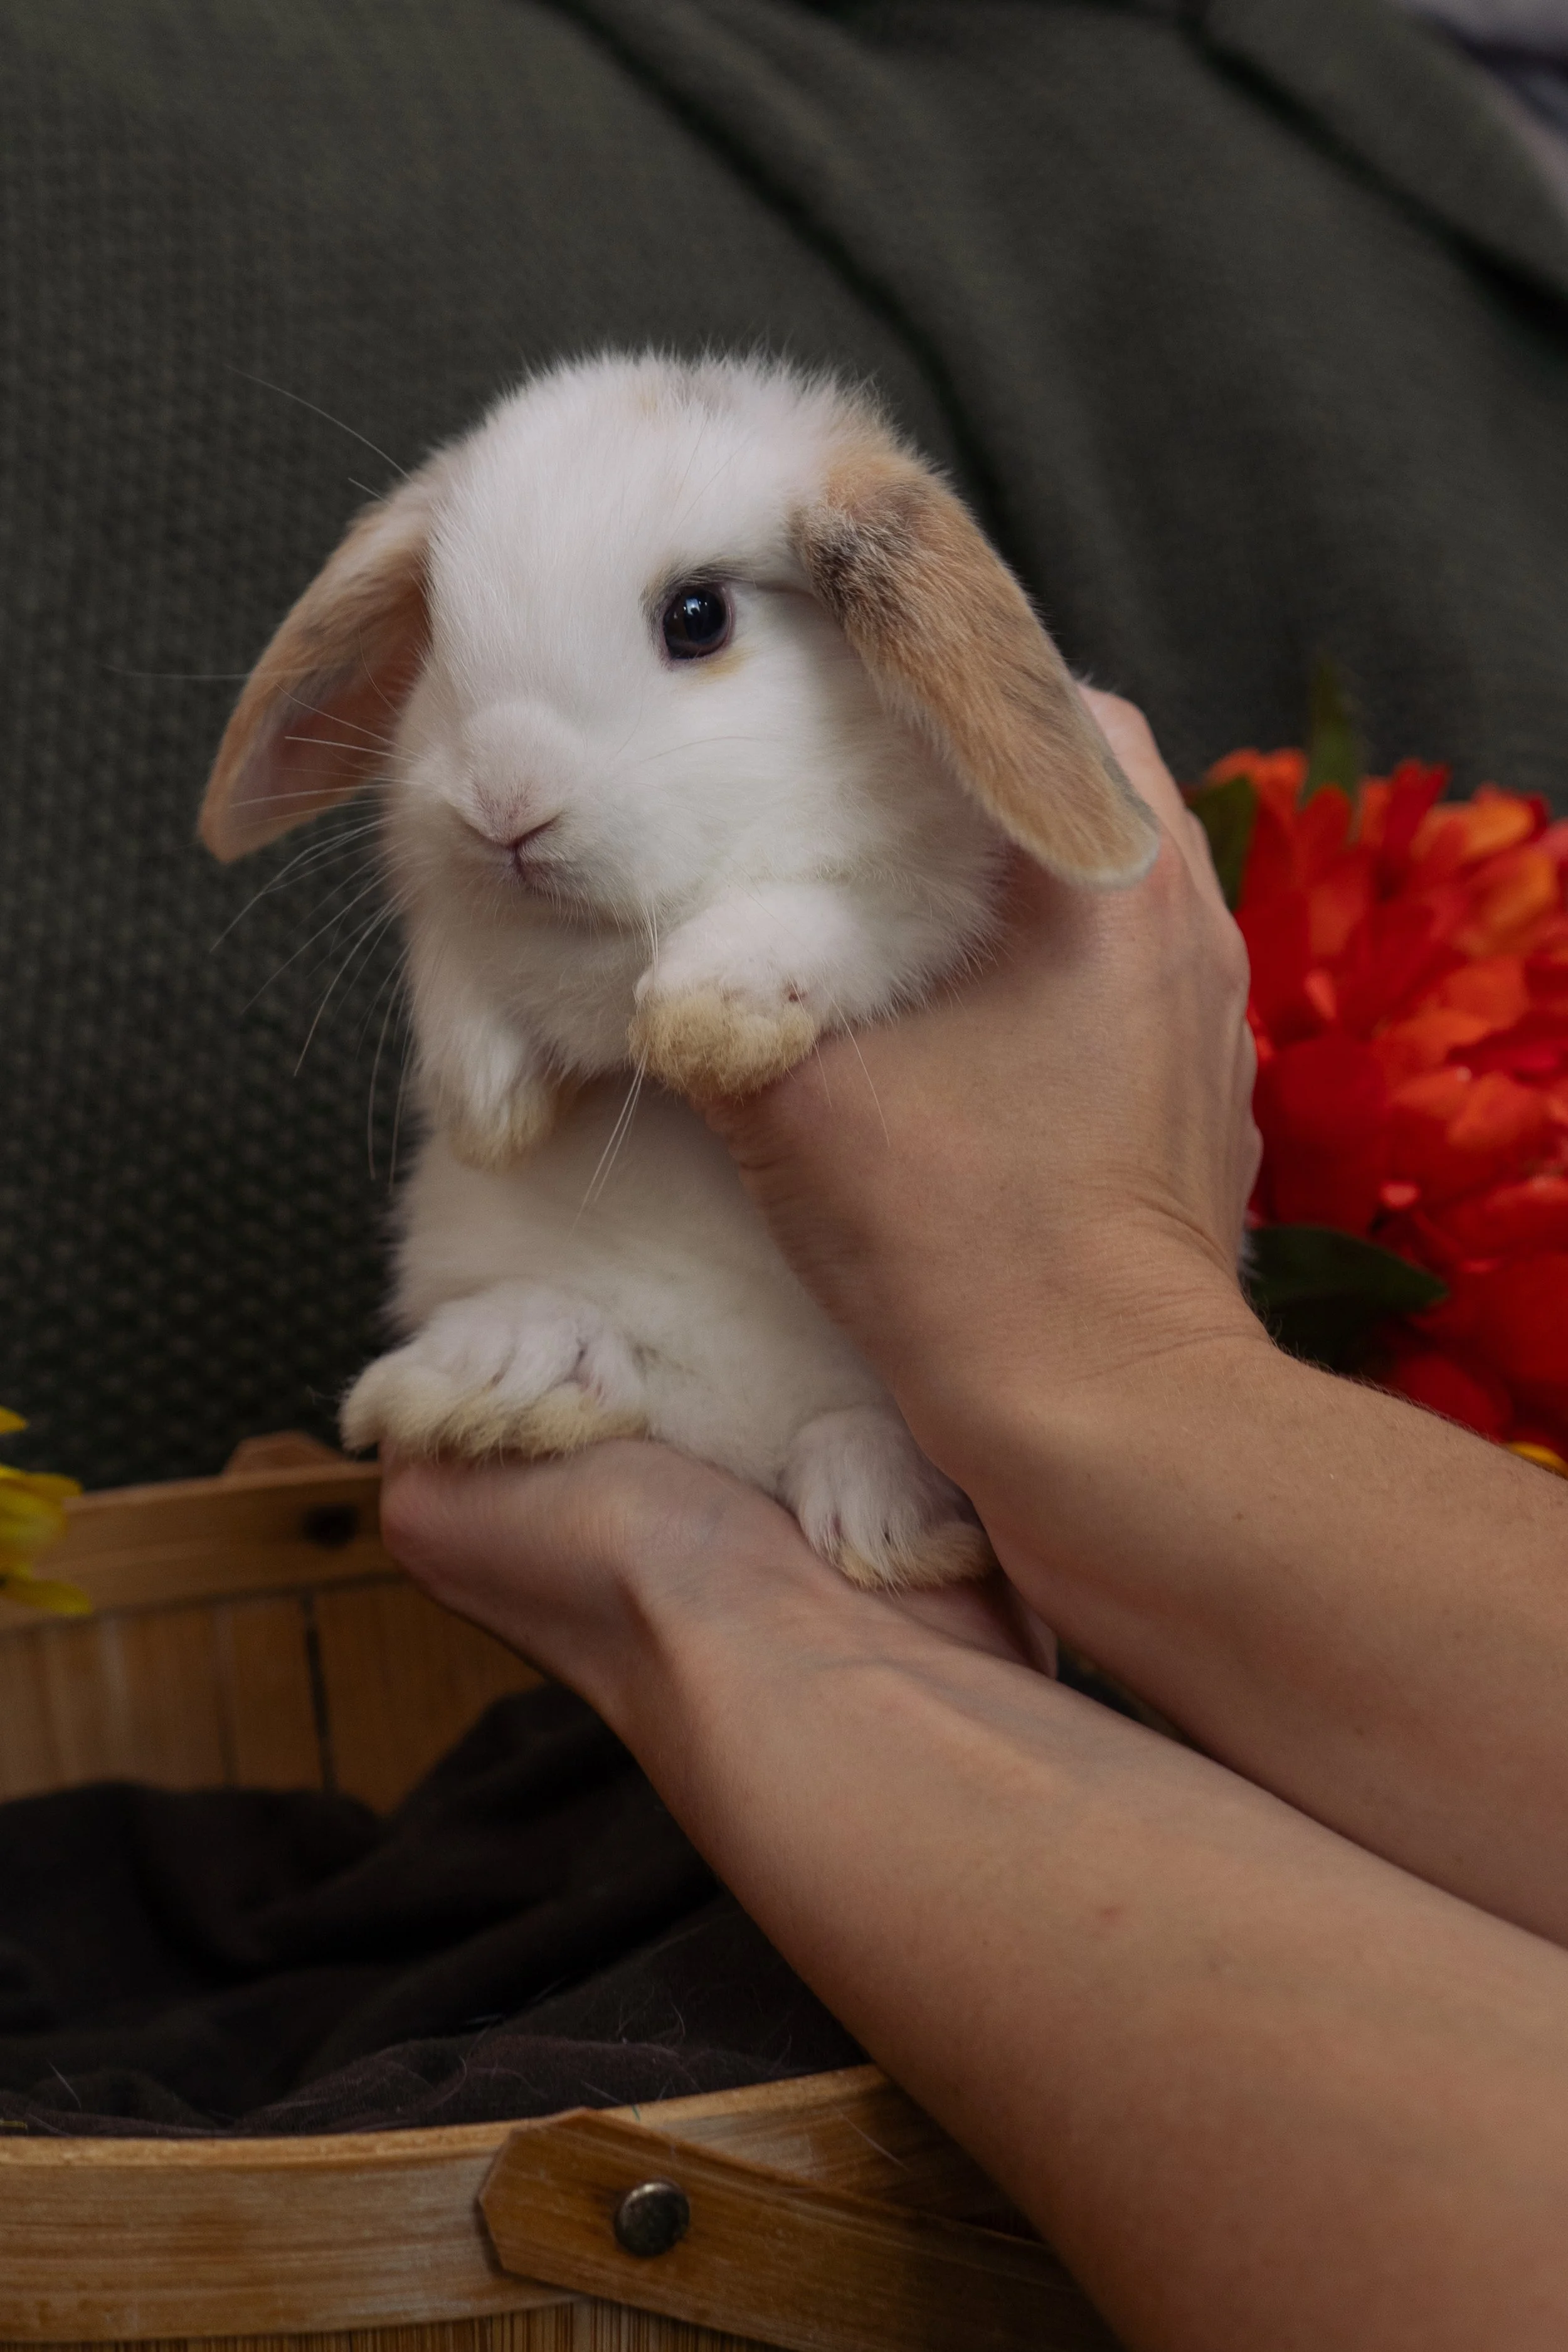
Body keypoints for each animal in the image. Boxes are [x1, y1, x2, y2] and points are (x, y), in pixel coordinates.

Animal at [199, 352, 1156, 1590]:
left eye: (698, 616)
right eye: (439, 631)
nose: (504, 803)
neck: (608, 935)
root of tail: (745, 1433)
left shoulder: (930, 890)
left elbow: (823, 919)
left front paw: (705, 1017)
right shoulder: (440, 899)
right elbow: (454, 965)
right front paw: (488, 1107)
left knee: (854, 1440)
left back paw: (896, 1520)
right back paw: (493, 1385)